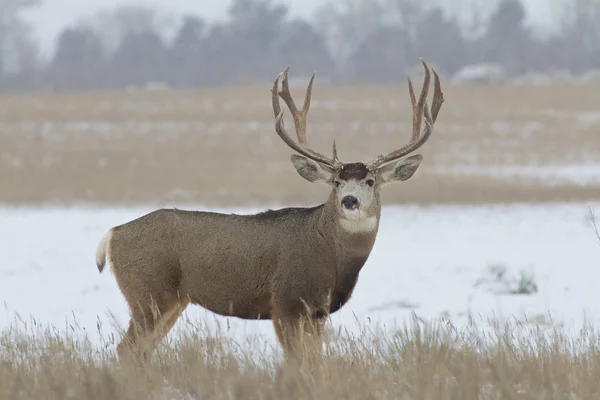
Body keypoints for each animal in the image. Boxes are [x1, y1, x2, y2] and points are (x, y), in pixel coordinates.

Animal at [96, 58, 442, 366]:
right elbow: (296, 363)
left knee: (140, 351)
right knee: (127, 349)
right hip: (148, 293)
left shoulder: (317, 313)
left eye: (371, 181)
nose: (349, 201)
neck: (330, 256)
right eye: (337, 182)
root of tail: (113, 234)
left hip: (170, 301)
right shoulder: (285, 302)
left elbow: (315, 361)